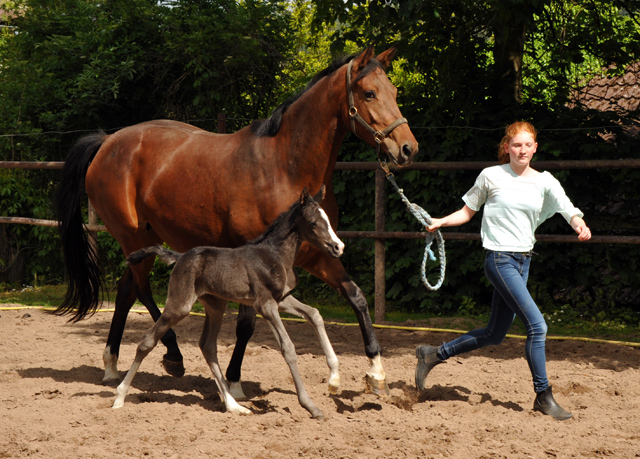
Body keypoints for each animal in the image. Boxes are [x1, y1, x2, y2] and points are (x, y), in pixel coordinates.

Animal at [115, 187, 344, 420]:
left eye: (327, 219)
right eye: (313, 222)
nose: (338, 247)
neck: (276, 256)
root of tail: (180, 257)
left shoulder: (281, 299)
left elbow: (314, 314)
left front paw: (334, 381)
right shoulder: (265, 305)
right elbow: (287, 347)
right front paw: (310, 406)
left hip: (216, 306)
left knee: (207, 346)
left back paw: (234, 405)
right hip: (180, 305)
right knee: (147, 340)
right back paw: (119, 396)